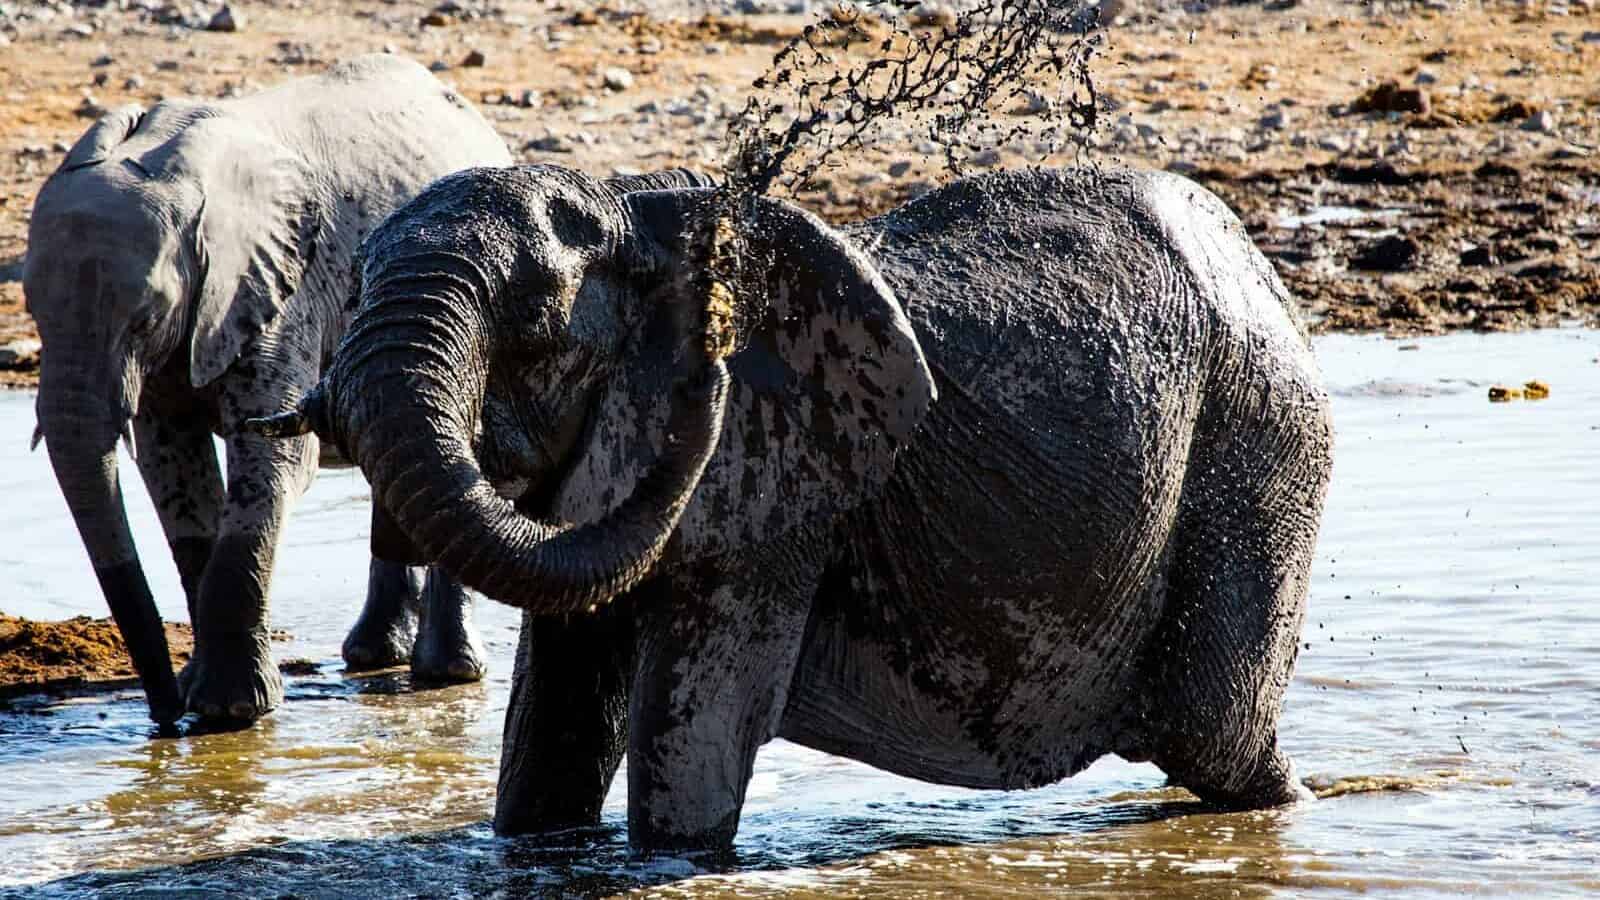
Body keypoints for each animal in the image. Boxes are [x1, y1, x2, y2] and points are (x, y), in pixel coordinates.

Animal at [22, 54, 515, 725]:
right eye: (32, 312)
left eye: (146, 319)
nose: (164, 717)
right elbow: (173, 470)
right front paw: (204, 700)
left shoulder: (284, 290)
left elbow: (270, 458)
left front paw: (232, 712)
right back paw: (371, 656)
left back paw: (447, 674)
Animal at [253, 163, 1334, 853]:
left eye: (532, 318)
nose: (705, 379)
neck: (640, 212)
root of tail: (1253, 257)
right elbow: (548, 733)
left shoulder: (768, 488)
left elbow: (687, 756)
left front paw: (676, 863)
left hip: (1259, 434)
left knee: (1214, 740)